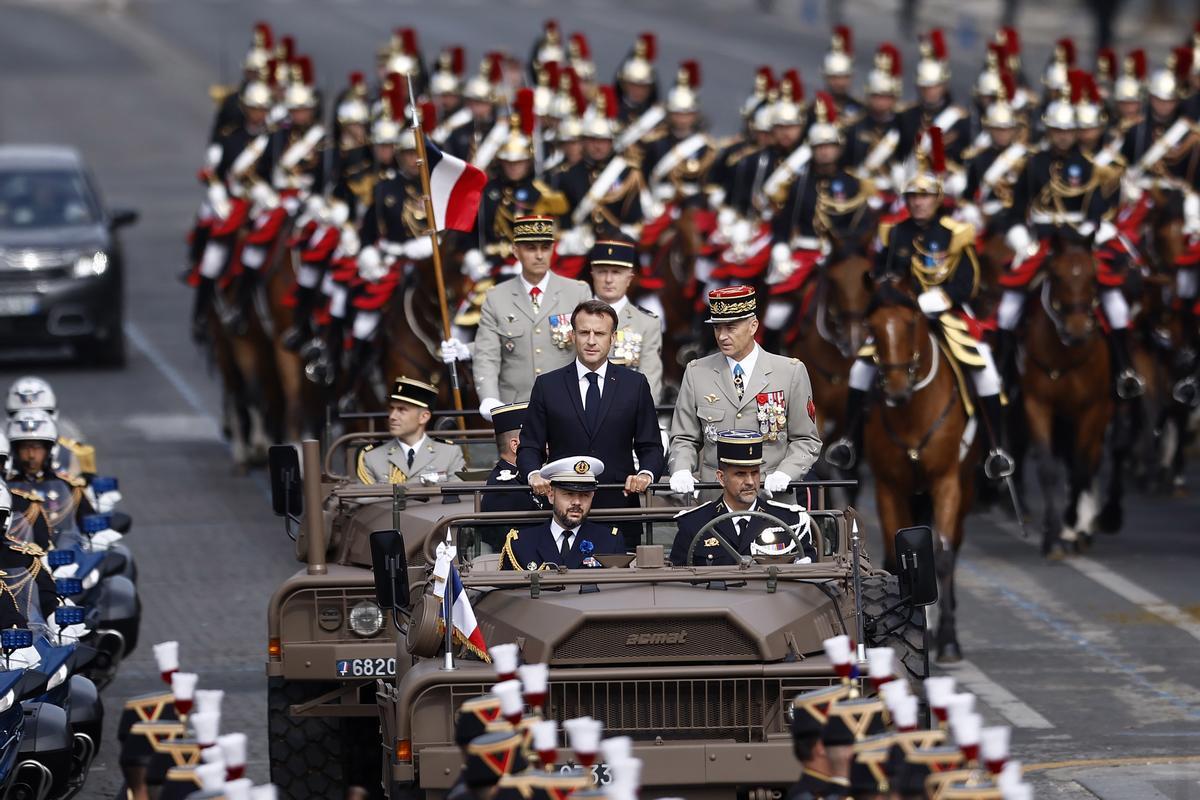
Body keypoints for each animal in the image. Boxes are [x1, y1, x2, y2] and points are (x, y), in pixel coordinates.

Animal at [864, 281, 974, 662]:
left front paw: (948, 639)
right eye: (872, 328)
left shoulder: (947, 483)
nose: (896, 389)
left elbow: (941, 557)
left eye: (912, 323)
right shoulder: (888, 487)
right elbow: (897, 560)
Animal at [1022, 241, 1113, 561]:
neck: (1063, 355)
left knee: (1088, 462)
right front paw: (1052, 537)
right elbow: (1048, 469)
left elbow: (1081, 467)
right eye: (1057, 276)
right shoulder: (1037, 405)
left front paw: (1073, 523)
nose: (1077, 330)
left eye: (1093, 277)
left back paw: (1081, 528)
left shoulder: (1092, 409)